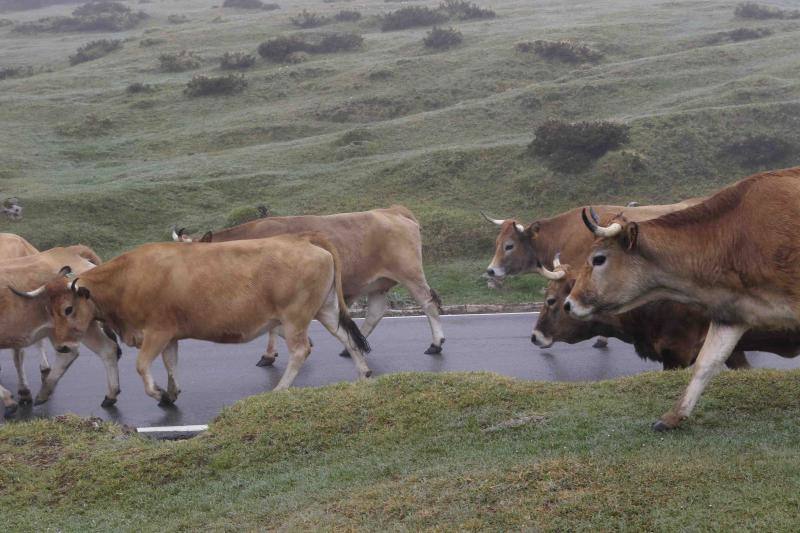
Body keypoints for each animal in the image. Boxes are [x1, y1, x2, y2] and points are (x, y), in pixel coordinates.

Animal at [14, 233, 372, 404]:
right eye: (48, 310)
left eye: (68, 309)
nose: (61, 346)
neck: (128, 279)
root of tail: (305, 239)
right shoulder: (171, 335)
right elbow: (171, 365)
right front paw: (171, 393)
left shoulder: (157, 332)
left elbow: (142, 367)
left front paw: (158, 393)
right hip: (325, 309)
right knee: (346, 336)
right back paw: (363, 373)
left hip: (295, 317)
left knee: (301, 350)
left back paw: (280, 388)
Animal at [173, 206, 444, 364]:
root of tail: (393, 210)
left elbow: (274, 328)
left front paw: (270, 354)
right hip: (377, 283)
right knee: (377, 311)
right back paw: (352, 346)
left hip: (410, 273)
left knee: (428, 304)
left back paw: (435, 344)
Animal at [564, 168, 800, 430]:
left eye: (598, 259)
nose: (568, 303)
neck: (734, 239)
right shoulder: (732, 312)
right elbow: (705, 363)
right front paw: (673, 416)